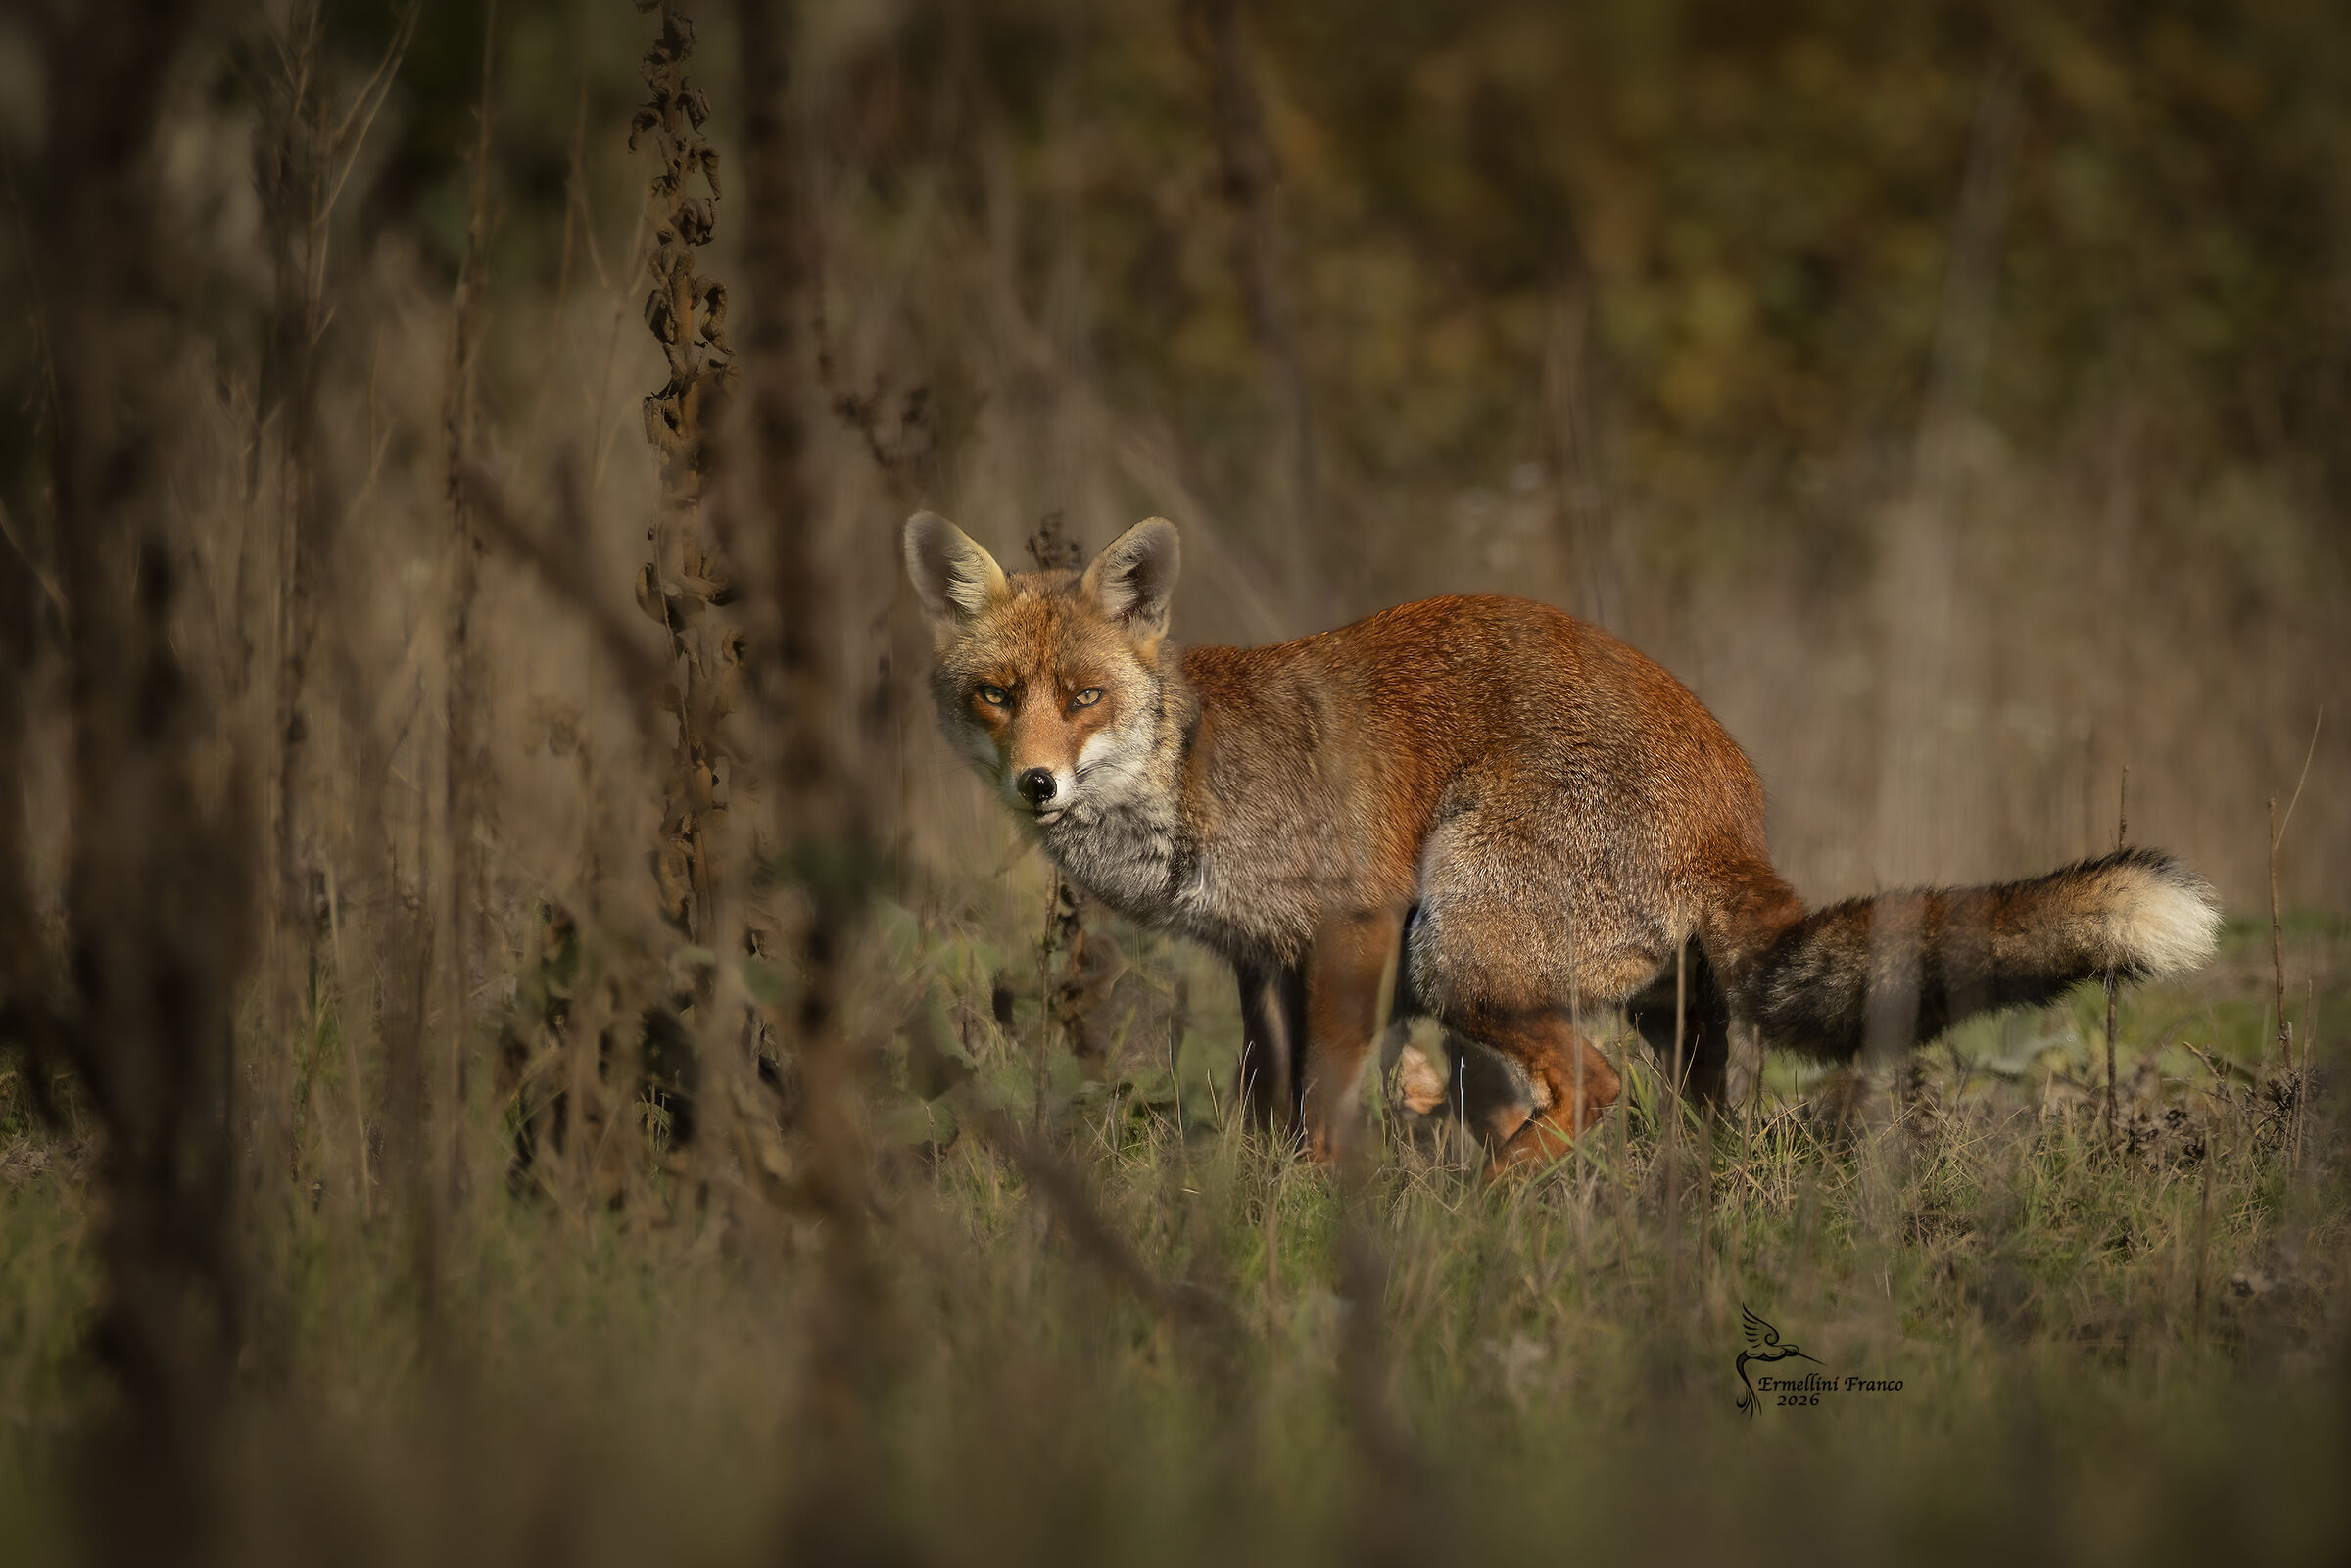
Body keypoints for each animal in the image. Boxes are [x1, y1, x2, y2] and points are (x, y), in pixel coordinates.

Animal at [903, 510, 2222, 1170]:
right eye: (995, 694)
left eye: (1082, 696)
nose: (1034, 783)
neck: (1192, 771)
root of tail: (1732, 811)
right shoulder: (1261, 959)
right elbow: (1267, 1102)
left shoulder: (1358, 922)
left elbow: (1324, 1109)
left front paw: (1321, 1227)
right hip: (1650, 1002)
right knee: (1689, 1114)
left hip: (1457, 953)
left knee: (1592, 1095)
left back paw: (1492, 1199)